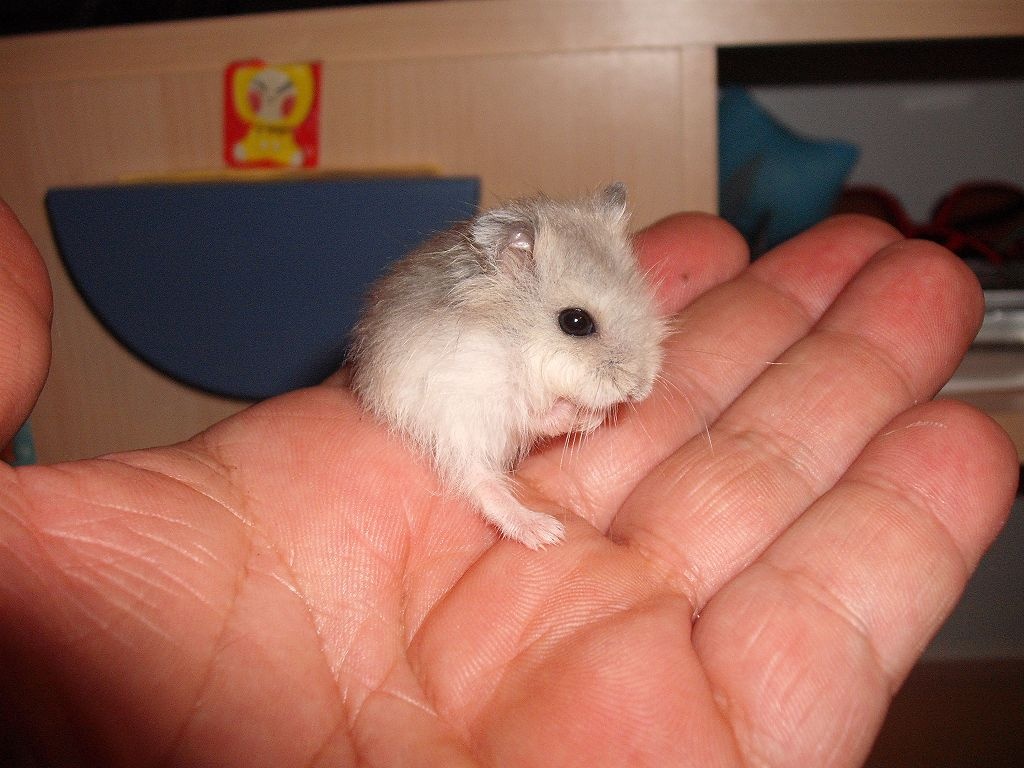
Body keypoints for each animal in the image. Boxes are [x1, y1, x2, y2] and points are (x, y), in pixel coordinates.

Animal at [347, 183, 666, 548]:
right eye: (575, 322)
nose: (641, 390)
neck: (518, 339)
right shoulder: (485, 390)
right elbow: (537, 417)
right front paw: (587, 416)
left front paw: (595, 417)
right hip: (457, 425)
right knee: (480, 482)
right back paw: (544, 532)